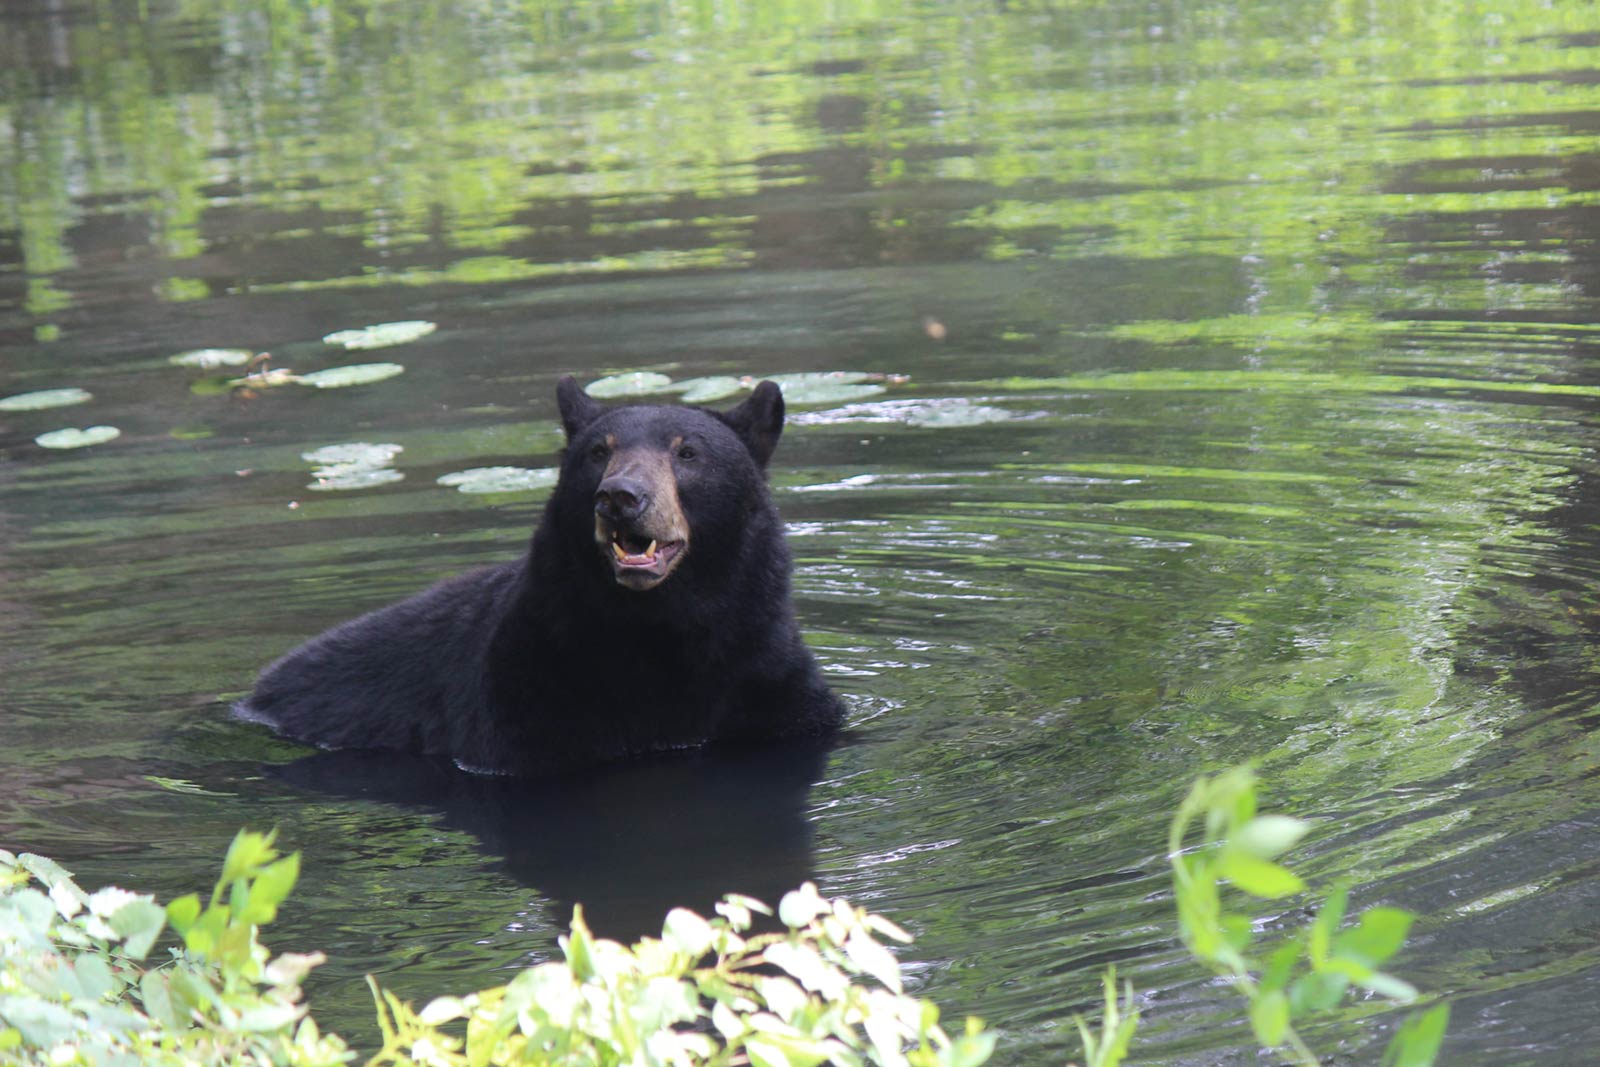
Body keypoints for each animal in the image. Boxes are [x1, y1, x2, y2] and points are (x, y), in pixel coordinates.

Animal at [233, 377, 851, 777]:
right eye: (597, 451)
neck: (661, 630)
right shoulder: (530, 693)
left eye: (689, 452)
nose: (620, 497)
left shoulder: (765, 673)